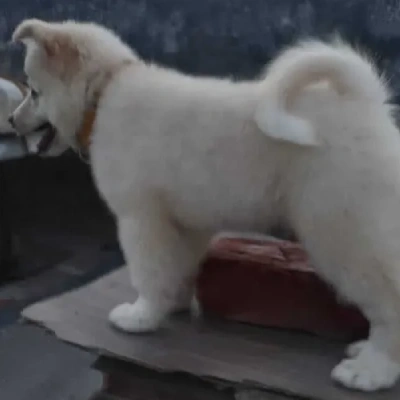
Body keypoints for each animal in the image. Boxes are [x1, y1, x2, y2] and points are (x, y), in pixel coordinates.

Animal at [9, 18, 400, 390]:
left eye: (34, 91)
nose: (11, 121)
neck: (103, 94)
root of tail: (363, 102)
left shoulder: (141, 219)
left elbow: (149, 273)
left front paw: (141, 316)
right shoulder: (184, 223)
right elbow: (176, 269)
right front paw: (174, 305)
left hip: (342, 230)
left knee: (388, 301)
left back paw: (371, 370)